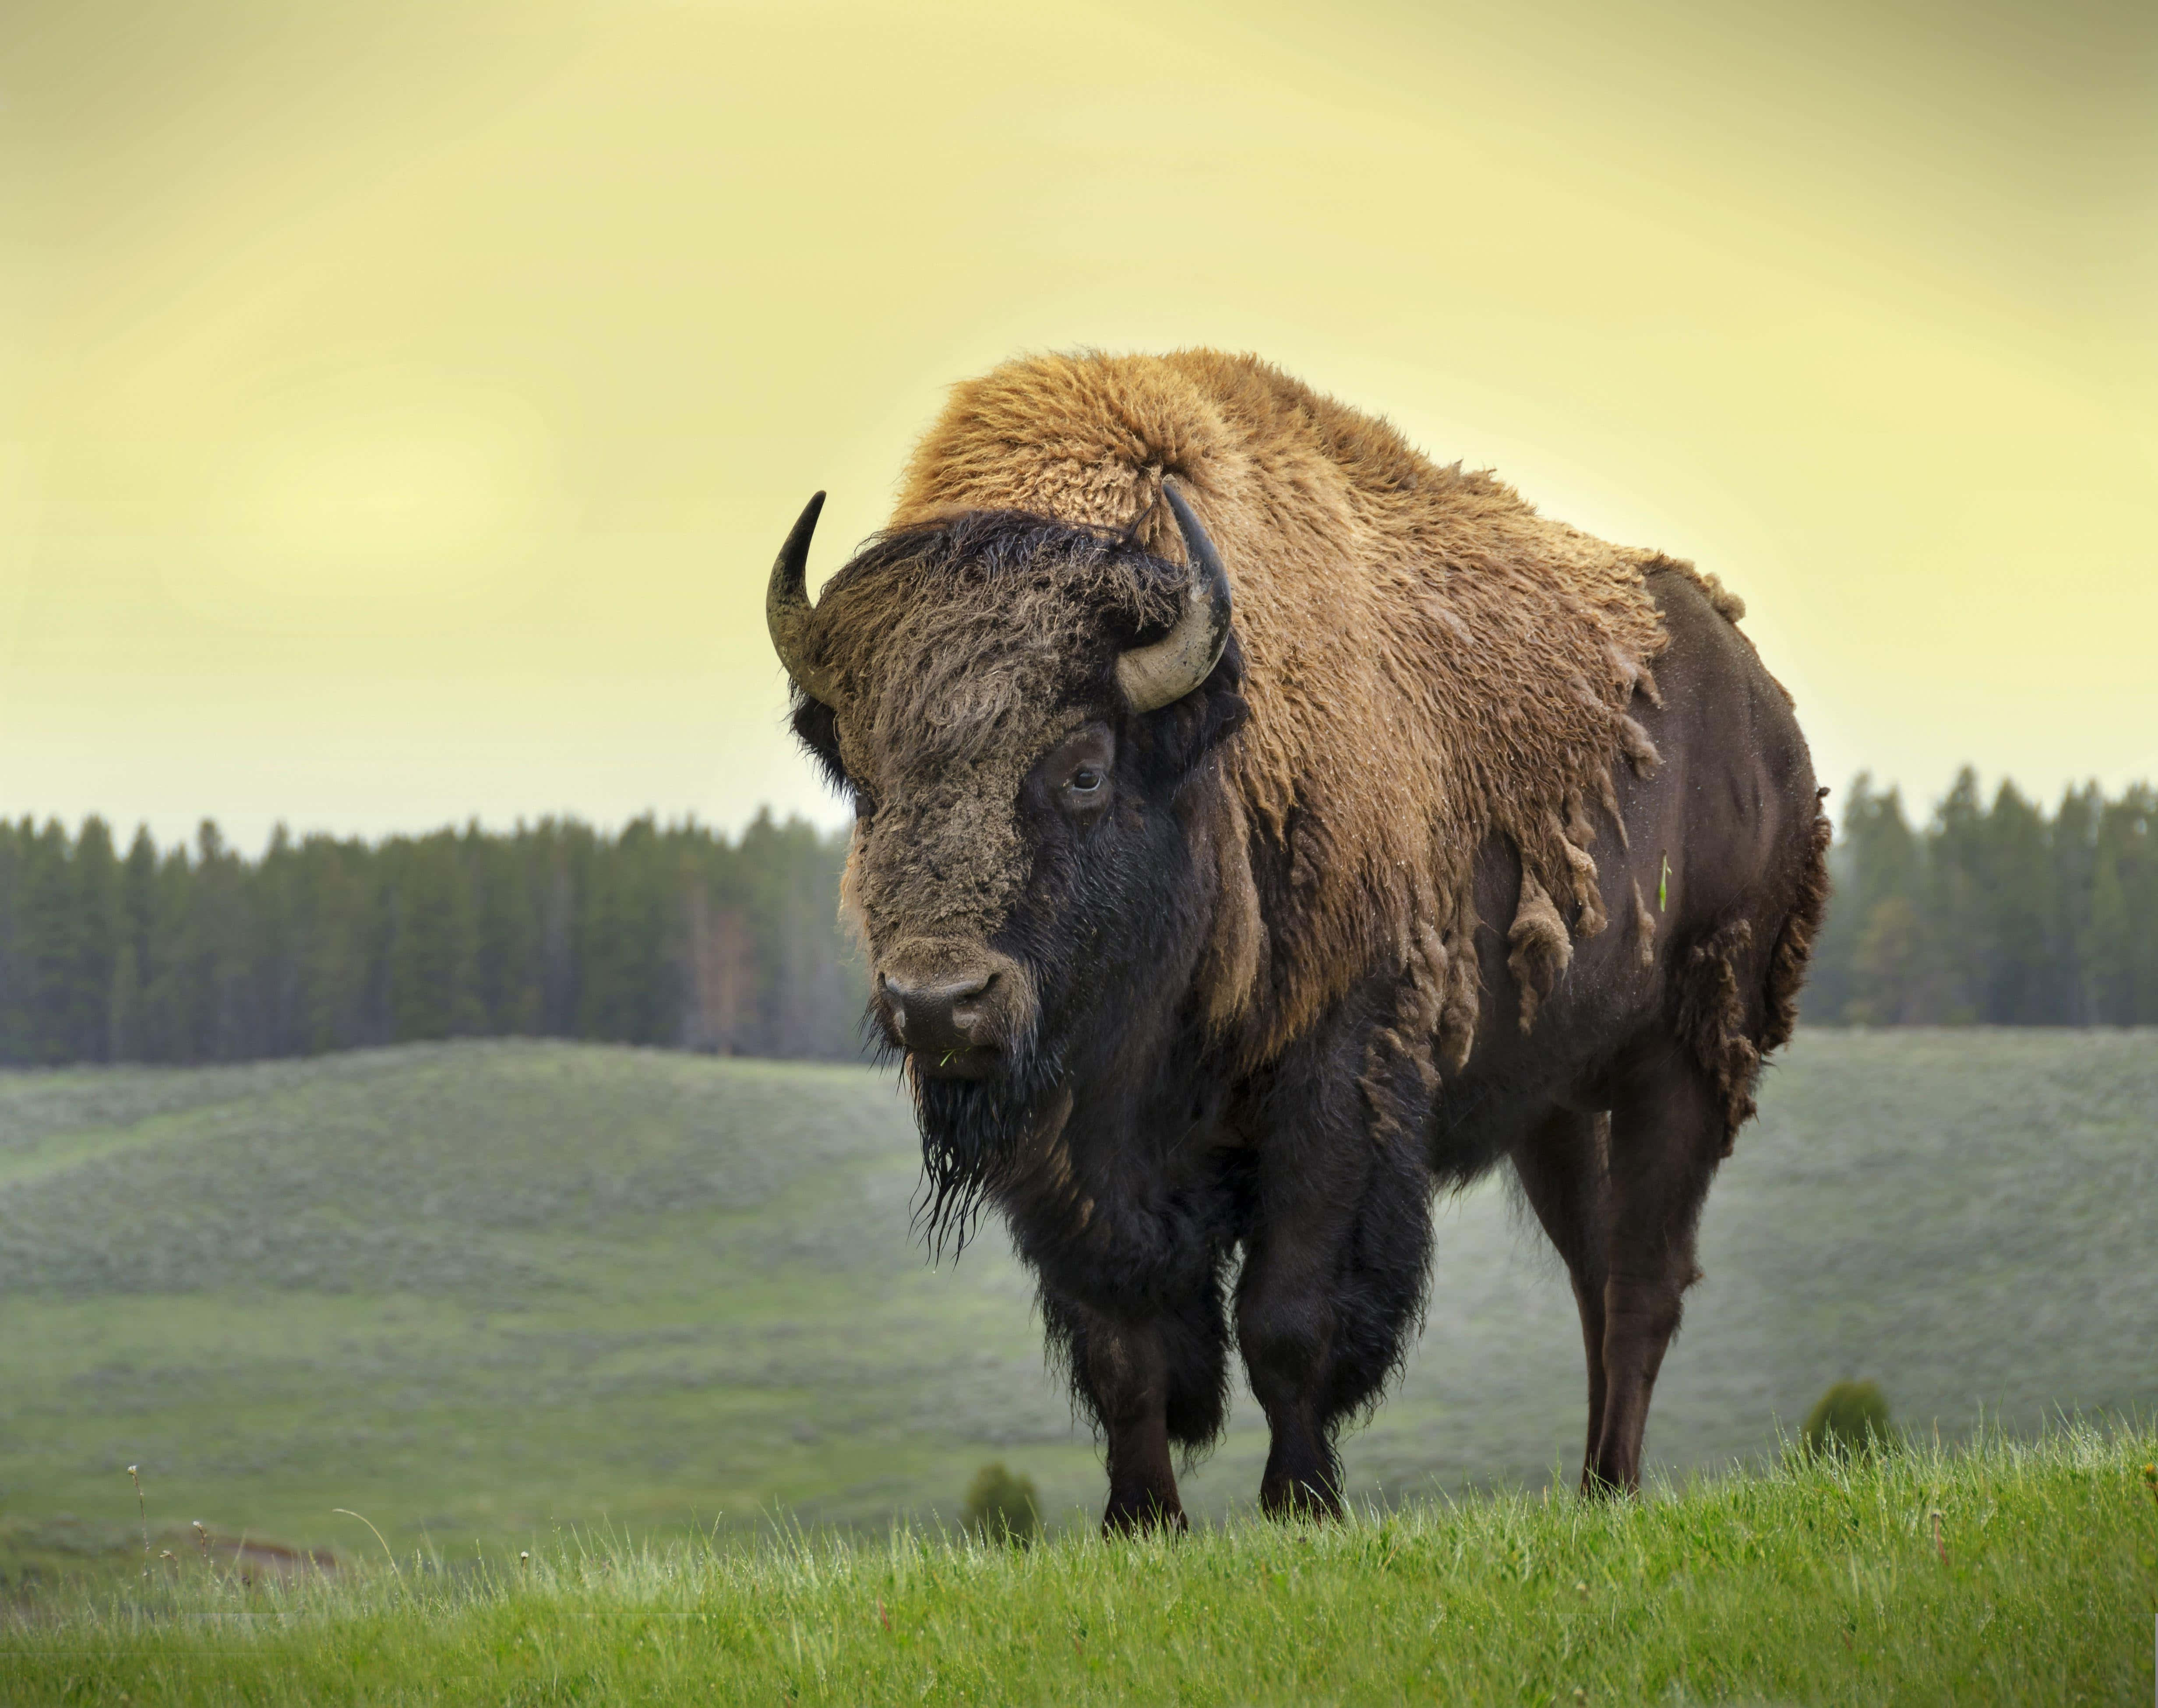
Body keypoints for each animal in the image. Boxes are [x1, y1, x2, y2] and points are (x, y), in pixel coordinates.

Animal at [766, 350, 1830, 1531]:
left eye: (1084, 767)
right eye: (865, 781)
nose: (937, 1001)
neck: (1204, 756)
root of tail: (1765, 714)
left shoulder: (1336, 1082)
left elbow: (1288, 1320)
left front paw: (1301, 1503)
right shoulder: (1071, 1153)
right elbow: (1121, 1342)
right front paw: (1143, 1520)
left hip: (1684, 1058)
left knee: (1642, 1281)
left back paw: (1608, 1485)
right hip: (1556, 1102)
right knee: (1596, 1275)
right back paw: (1598, 1490)